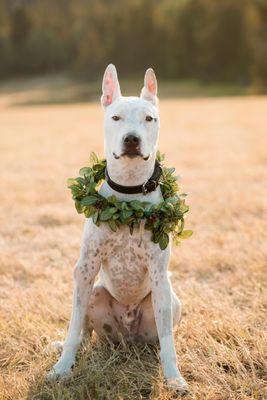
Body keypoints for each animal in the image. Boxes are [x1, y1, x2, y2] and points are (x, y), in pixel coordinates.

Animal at [48, 64, 189, 392]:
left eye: (149, 119)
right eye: (116, 118)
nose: (132, 139)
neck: (129, 196)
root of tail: (127, 336)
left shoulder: (159, 275)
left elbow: (168, 341)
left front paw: (173, 378)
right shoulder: (85, 268)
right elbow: (73, 328)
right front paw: (62, 369)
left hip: (170, 299)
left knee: (161, 336)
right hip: (94, 291)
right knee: (84, 332)